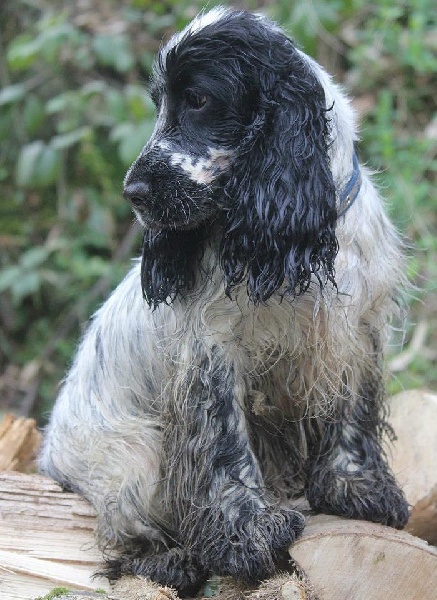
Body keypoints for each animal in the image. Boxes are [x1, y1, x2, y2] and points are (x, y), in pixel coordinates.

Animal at [38, 8, 408, 596]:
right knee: (122, 533)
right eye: (159, 102)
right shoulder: (212, 352)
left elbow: (353, 412)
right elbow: (225, 447)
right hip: (130, 454)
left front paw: (358, 490)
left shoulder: (357, 329)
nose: (133, 192)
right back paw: (173, 560)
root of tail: (49, 455)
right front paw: (248, 536)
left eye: (197, 99)